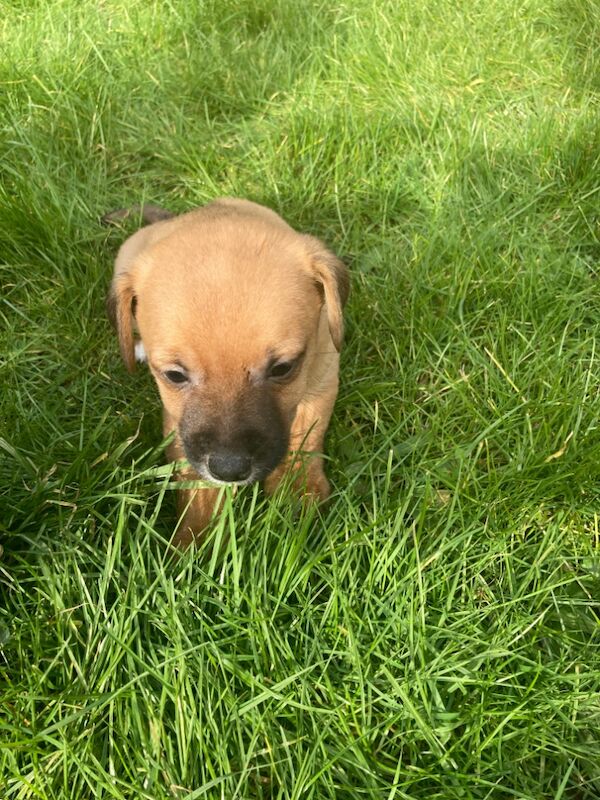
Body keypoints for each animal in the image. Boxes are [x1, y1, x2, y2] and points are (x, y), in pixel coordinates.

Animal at [106, 198, 350, 552]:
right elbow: (195, 481)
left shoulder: (322, 380)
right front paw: (197, 536)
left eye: (283, 368)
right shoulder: (178, 423)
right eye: (174, 375)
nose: (229, 469)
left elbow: (305, 436)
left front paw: (297, 493)